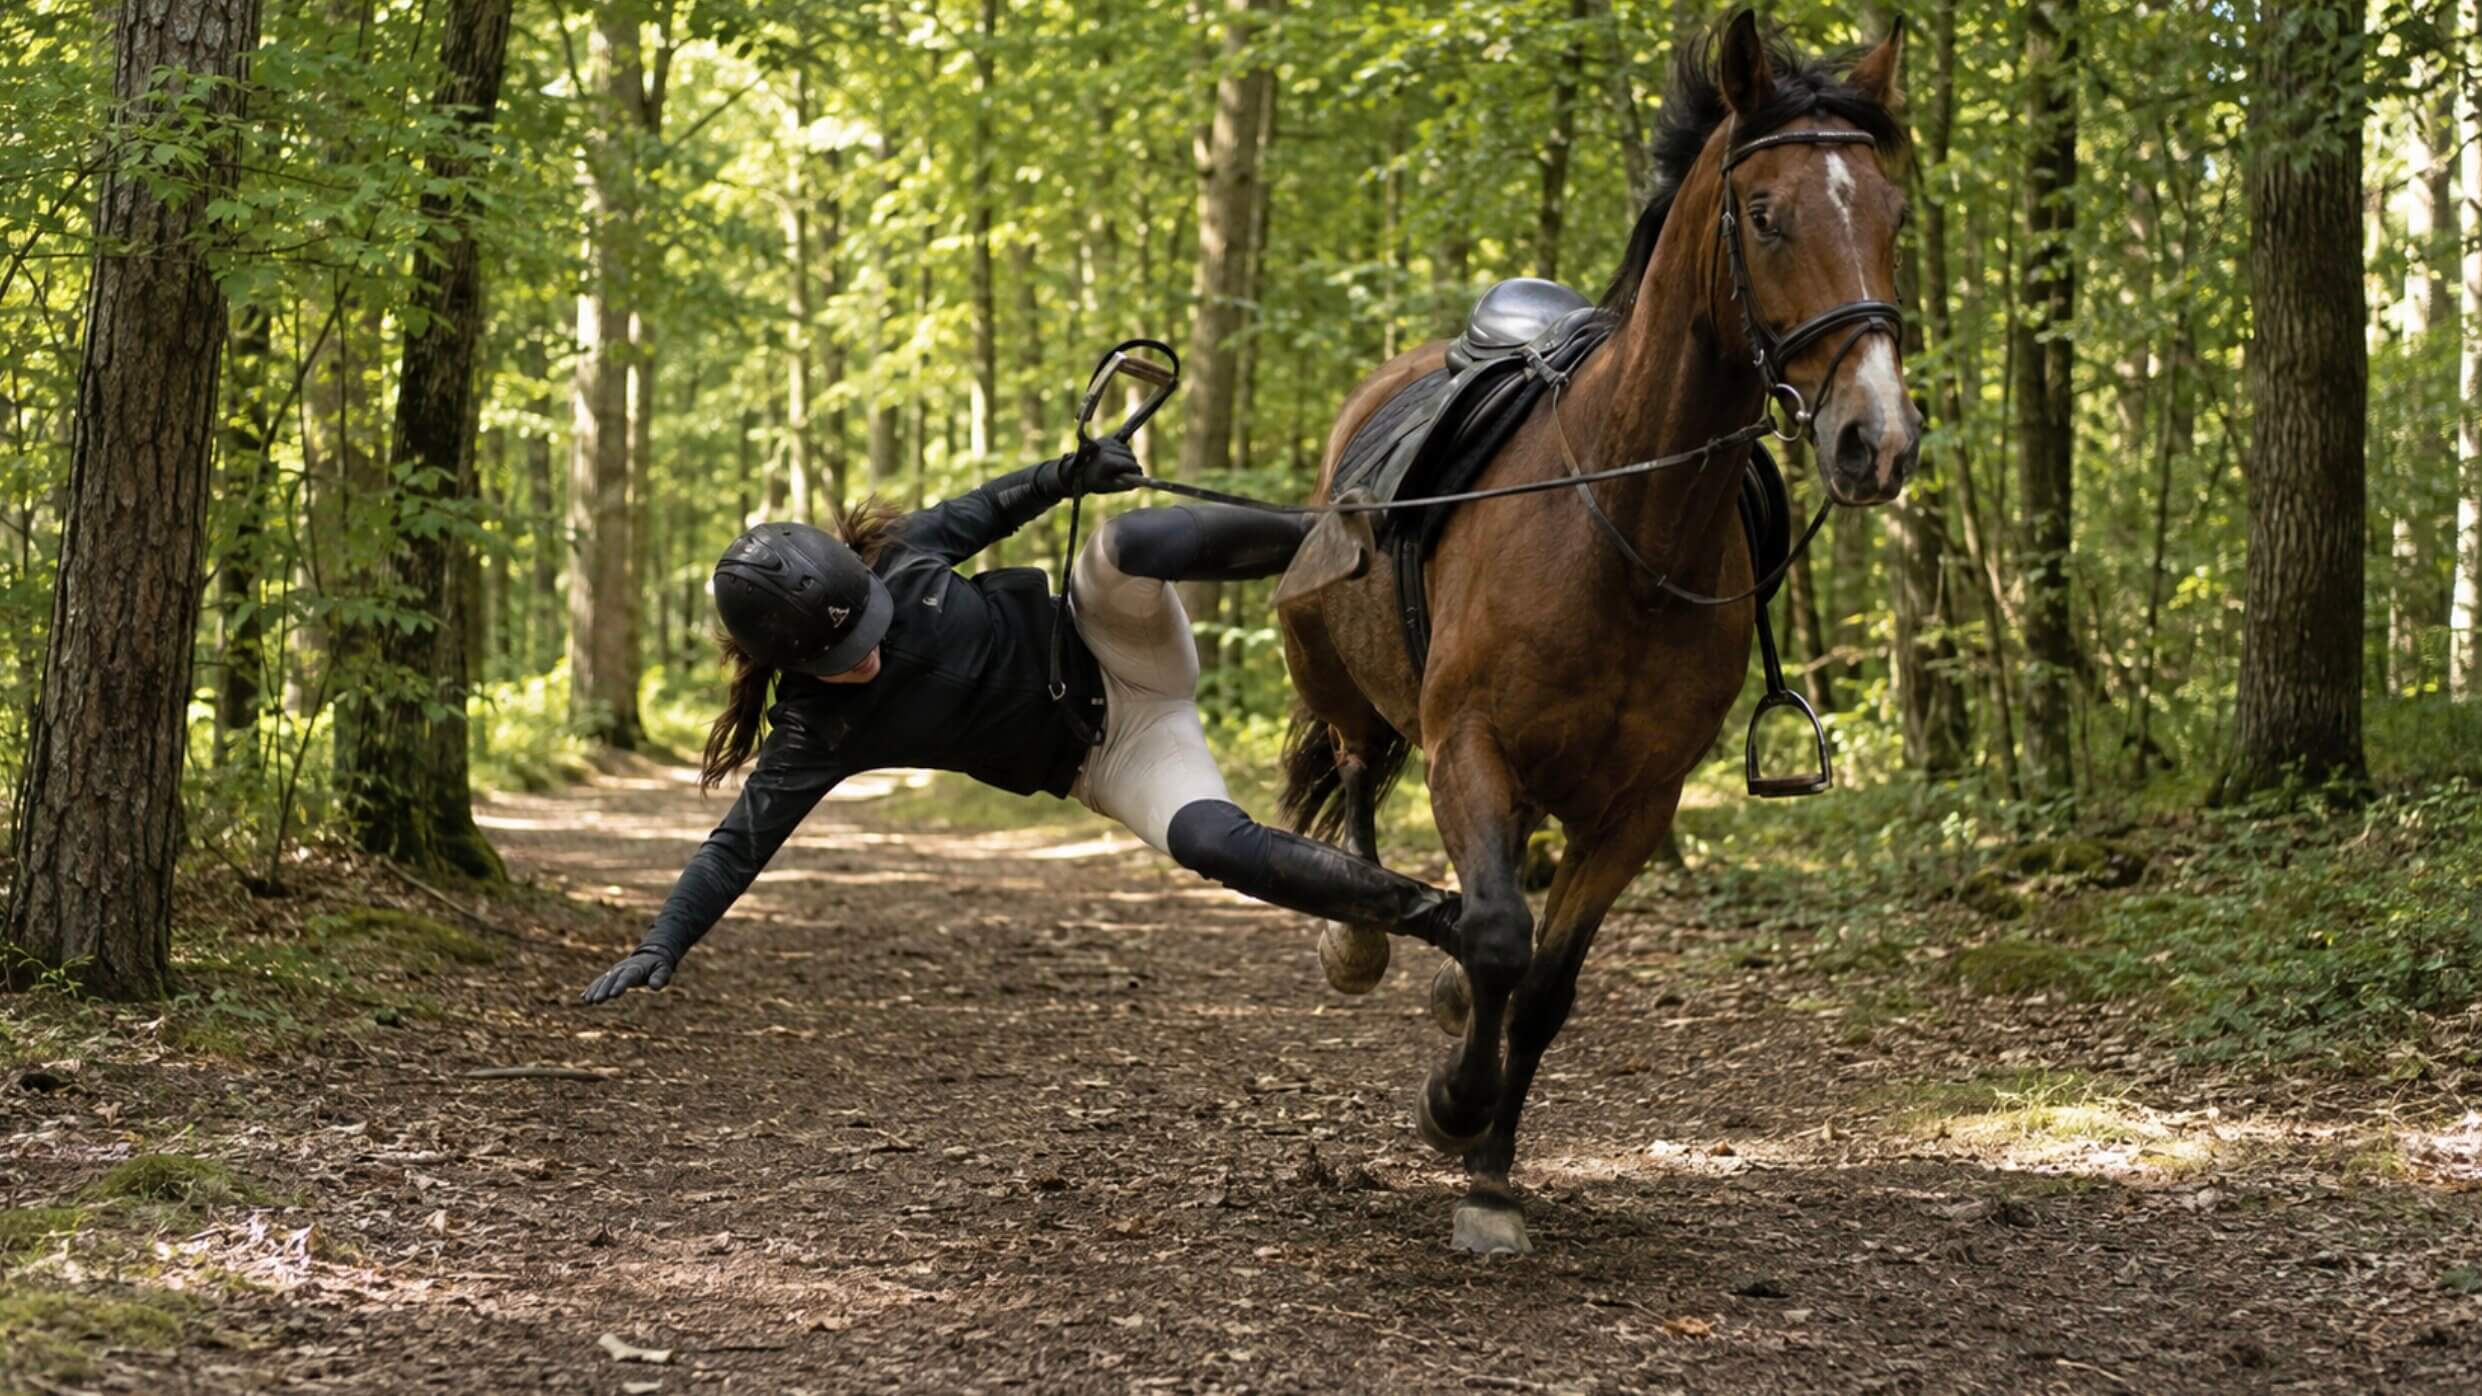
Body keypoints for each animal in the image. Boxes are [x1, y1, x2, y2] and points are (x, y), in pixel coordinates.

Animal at [1274, 11, 1920, 1255]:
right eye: (1763, 213)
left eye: (1893, 215)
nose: (1878, 439)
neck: (1626, 526)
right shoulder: (1467, 744)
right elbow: (1496, 936)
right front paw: (1454, 1110)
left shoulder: (1638, 804)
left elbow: (1543, 982)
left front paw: (1489, 1168)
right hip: (1345, 678)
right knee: (1357, 766)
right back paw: (1363, 937)